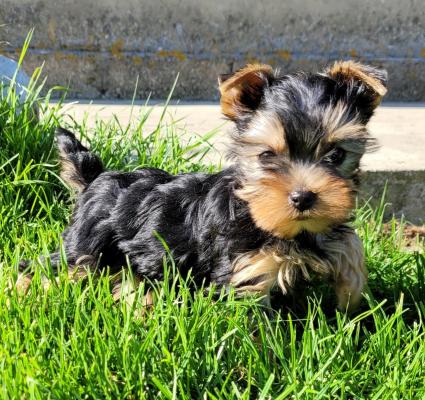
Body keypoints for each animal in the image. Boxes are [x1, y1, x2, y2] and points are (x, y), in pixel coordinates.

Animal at [21, 61, 386, 310]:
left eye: (336, 155)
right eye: (267, 156)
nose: (303, 197)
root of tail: (96, 178)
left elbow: (349, 246)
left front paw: (351, 299)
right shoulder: (244, 273)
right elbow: (254, 328)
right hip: (85, 247)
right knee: (51, 267)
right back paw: (24, 292)